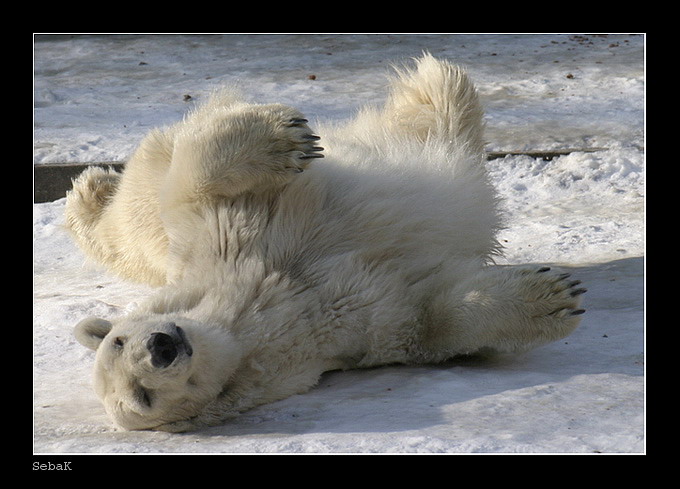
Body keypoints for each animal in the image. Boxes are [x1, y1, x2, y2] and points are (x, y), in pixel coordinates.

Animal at [65, 54, 584, 430]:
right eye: (142, 396)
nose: (161, 347)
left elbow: (195, 188)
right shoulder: (334, 334)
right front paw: (552, 298)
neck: (255, 305)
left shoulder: (219, 244)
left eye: (117, 341)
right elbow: (420, 320)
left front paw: (287, 138)